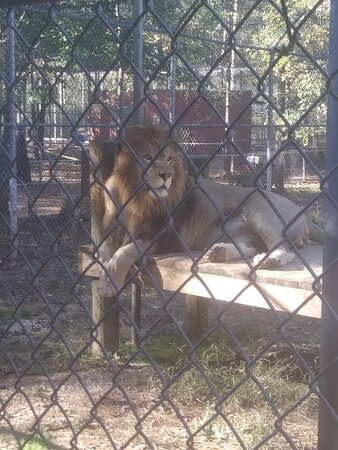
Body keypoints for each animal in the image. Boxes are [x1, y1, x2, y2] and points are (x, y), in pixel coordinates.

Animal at [92, 125, 322, 298]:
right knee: (249, 248)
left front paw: (108, 284)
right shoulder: (110, 228)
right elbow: (105, 251)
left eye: (168, 159)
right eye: (148, 156)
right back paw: (219, 252)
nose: (166, 175)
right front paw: (103, 269)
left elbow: (123, 252)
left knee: (284, 250)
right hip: (240, 232)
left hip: (261, 213)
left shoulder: (161, 235)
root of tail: (303, 213)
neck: (133, 195)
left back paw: (268, 260)